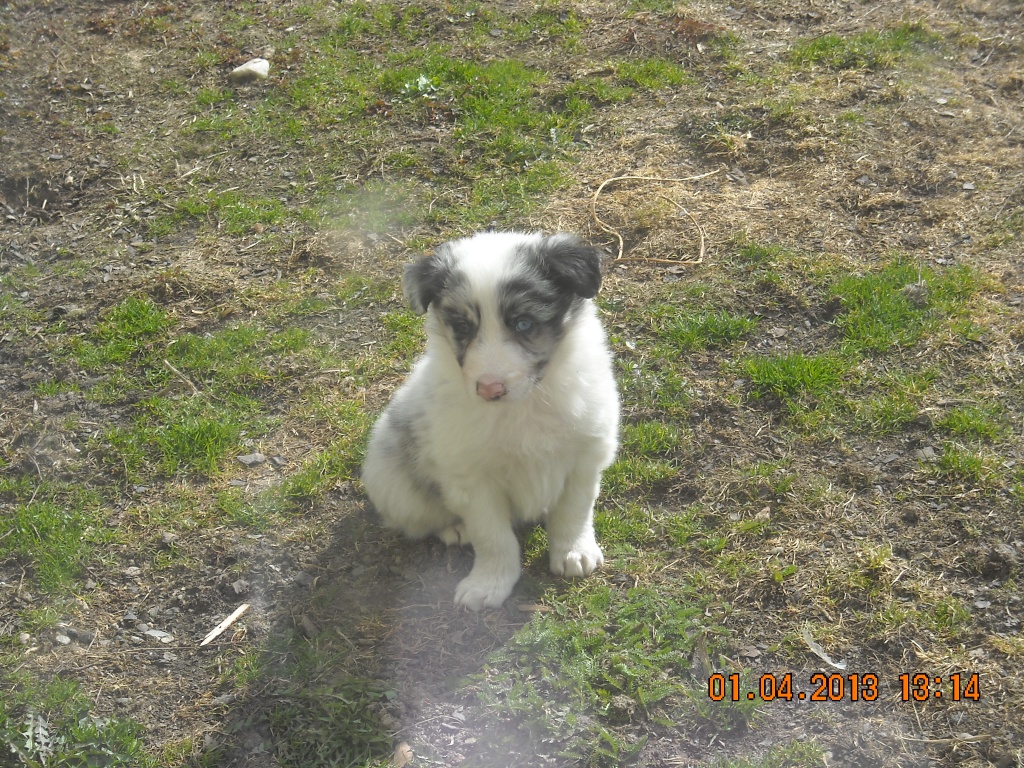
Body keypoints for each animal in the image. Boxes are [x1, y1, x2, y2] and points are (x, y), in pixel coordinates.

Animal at [364, 231, 618, 610]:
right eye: (462, 327)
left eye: (524, 323)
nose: (489, 389)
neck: (523, 407)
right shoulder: (471, 478)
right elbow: (492, 536)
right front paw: (488, 585)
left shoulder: (585, 455)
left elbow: (574, 511)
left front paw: (574, 553)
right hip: (395, 484)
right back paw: (455, 529)